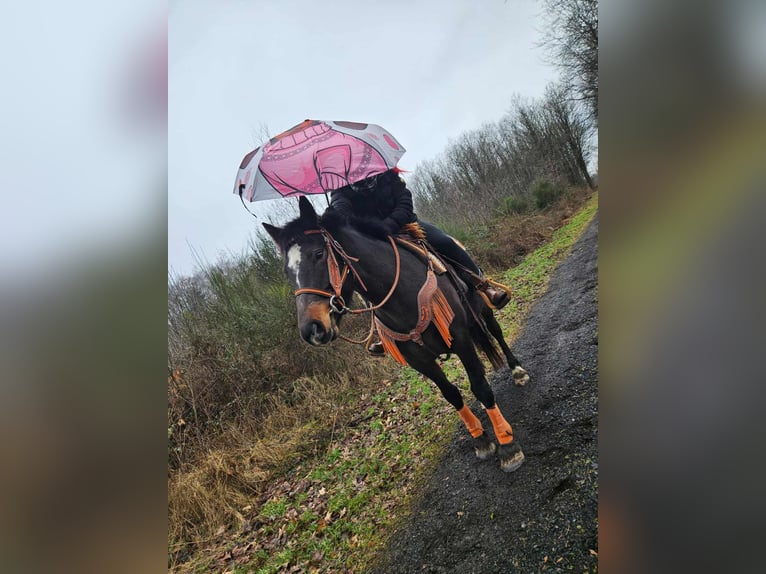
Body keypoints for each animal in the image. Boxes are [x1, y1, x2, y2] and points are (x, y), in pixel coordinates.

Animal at [263, 196, 529, 472]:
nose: (312, 329)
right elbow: (451, 394)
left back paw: (518, 370)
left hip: (482, 306)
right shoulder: (418, 360)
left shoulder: (461, 340)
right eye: (286, 272)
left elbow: (480, 387)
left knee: (497, 333)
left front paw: (507, 445)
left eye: (318, 253)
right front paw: (481, 440)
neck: (402, 295)